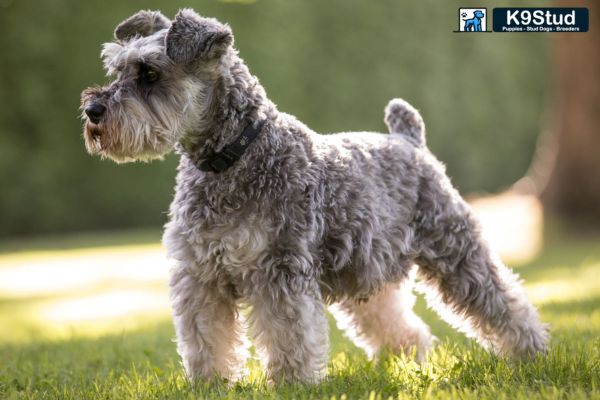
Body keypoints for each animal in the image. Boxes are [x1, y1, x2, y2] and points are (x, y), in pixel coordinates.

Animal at [79, 8, 548, 384]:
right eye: (117, 69)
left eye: (150, 73)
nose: (93, 110)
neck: (234, 157)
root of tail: (409, 140)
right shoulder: (200, 276)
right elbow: (205, 338)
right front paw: (209, 384)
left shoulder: (278, 271)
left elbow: (288, 335)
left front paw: (292, 383)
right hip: (368, 273)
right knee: (397, 321)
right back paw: (405, 360)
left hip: (455, 252)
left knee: (504, 301)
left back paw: (532, 353)